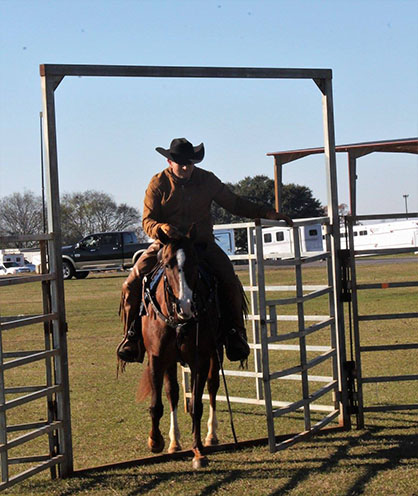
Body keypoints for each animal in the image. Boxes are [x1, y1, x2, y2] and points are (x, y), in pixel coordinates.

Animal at [136, 225, 222, 469]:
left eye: (195, 262)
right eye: (167, 264)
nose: (186, 306)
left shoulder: (200, 359)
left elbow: (196, 405)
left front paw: (198, 451)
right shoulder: (157, 358)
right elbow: (158, 403)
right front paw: (155, 441)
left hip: (216, 354)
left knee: (212, 387)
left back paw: (211, 435)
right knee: (172, 393)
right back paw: (174, 442)